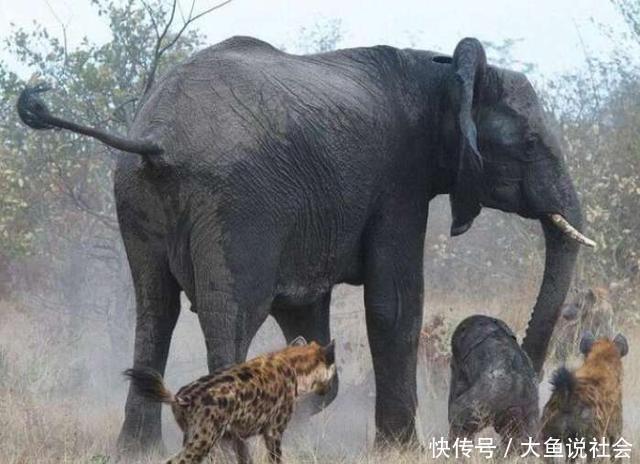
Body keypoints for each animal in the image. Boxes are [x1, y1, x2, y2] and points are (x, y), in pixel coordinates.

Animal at [17, 36, 595, 452]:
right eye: (529, 145)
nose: (532, 368)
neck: (440, 69)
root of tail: (155, 136)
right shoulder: (398, 182)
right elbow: (395, 304)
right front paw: (399, 450)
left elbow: (305, 312)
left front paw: (297, 410)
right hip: (234, 206)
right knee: (230, 315)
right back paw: (225, 444)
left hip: (135, 193)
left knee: (154, 310)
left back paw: (136, 451)